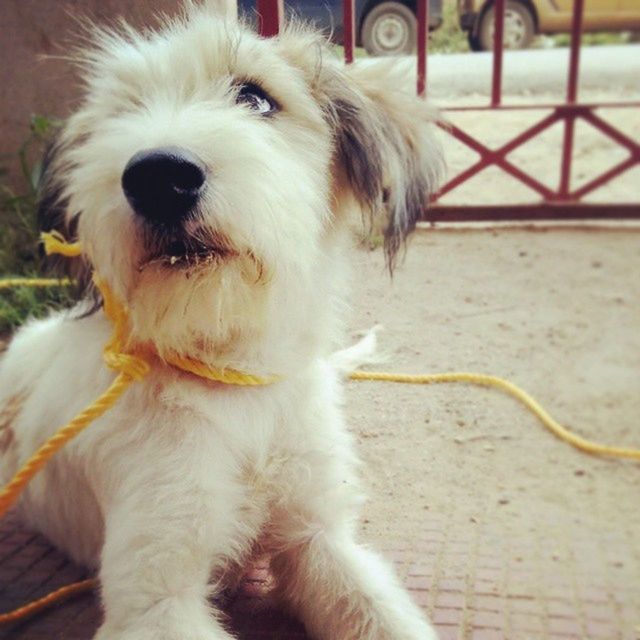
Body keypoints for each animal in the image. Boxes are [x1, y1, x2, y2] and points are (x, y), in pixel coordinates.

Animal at [0, 2, 442, 636]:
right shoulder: (156, 596)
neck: (235, 379)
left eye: (255, 98)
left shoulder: (320, 537)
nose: (157, 177)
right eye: (122, 114)